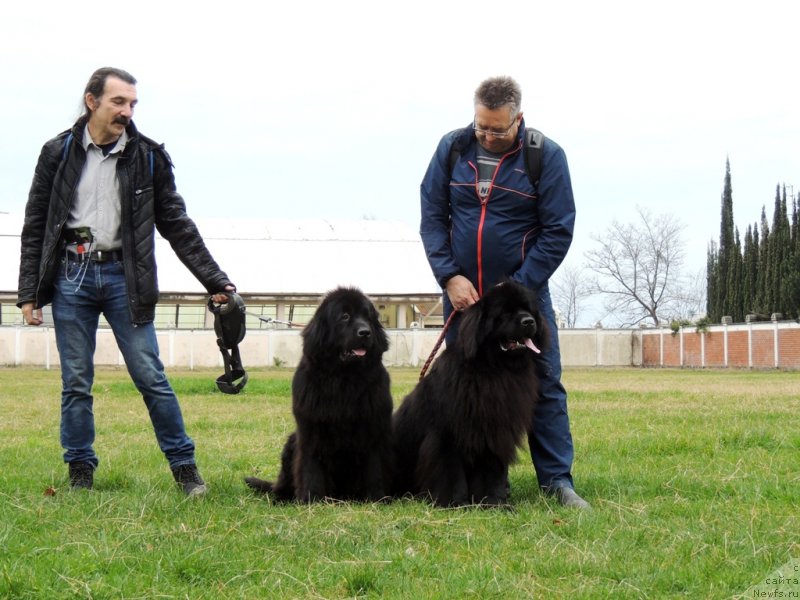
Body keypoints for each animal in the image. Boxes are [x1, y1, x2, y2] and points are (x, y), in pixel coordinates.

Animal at [244, 286, 394, 502]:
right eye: (345, 316)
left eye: (368, 317)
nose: (365, 332)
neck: (344, 378)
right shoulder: (312, 427)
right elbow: (311, 465)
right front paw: (311, 499)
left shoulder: (373, 428)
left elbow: (374, 467)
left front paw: (377, 498)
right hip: (291, 443)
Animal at [390, 282, 548, 506]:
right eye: (505, 313)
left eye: (528, 309)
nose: (529, 321)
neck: (494, 370)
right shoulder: (447, 434)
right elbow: (450, 471)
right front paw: (454, 502)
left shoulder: (494, 432)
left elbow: (493, 471)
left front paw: (494, 502)